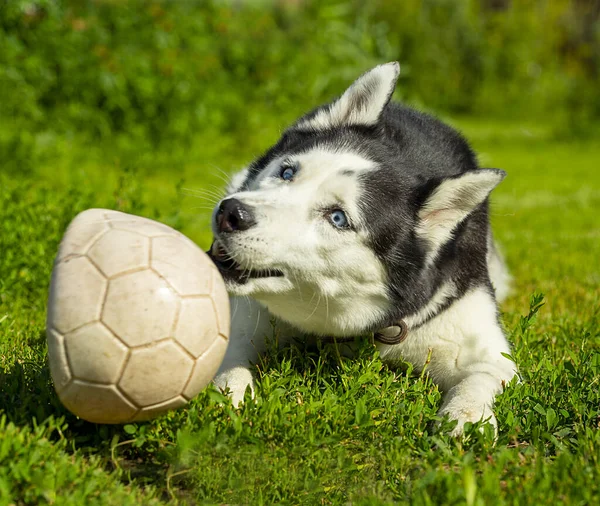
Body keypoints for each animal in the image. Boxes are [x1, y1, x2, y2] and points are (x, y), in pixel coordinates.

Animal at [207, 62, 516, 434]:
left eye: (338, 218)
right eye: (287, 172)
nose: (230, 214)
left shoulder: (485, 347)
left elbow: (480, 377)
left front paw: (466, 418)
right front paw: (230, 394)